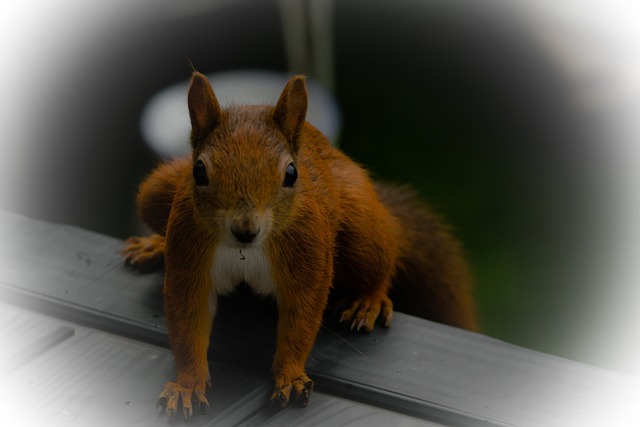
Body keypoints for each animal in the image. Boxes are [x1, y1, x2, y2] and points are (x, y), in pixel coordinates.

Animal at [122, 72, 477, 420]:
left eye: (291, 173)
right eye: (199, 172)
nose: (245, 230)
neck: (244, 252)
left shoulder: (308, 255)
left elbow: (301, 317)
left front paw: (290, 376)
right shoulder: (188, 253)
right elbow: (188, 322)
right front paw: (186, 385)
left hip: (361, 223)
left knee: (381, 260)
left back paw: (368, 300)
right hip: (158, 190)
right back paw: (154, 245)